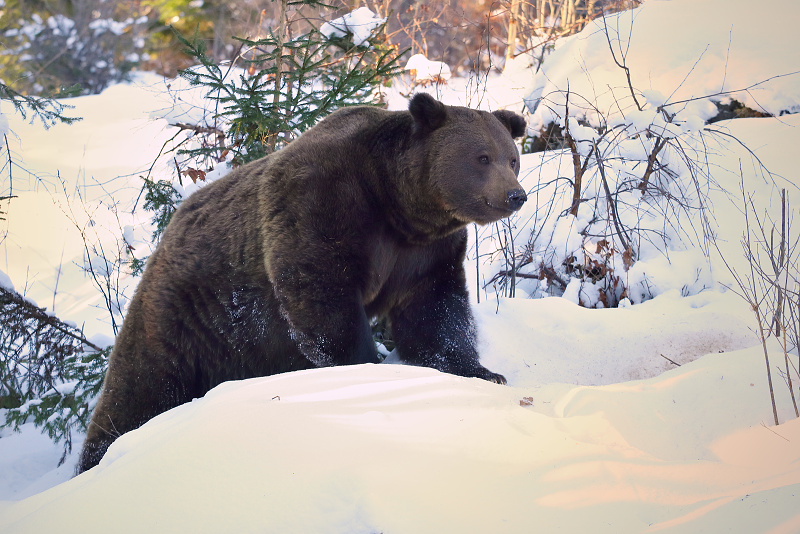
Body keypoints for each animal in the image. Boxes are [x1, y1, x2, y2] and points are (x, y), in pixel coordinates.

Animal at [75, 94, 524, 476]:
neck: (396, 203)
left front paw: (483, 372)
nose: (515, 195)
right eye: (482, 157)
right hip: (185, 319)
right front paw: (366, 367)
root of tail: (162, 243)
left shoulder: (423, 254)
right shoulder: (324, 202)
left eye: (512, 159)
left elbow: (435, 312)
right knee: (139, 391)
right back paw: (98, 457)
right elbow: (322, 293)